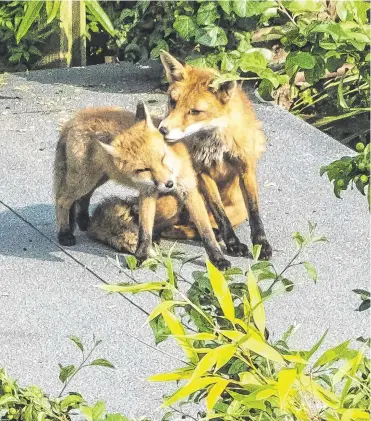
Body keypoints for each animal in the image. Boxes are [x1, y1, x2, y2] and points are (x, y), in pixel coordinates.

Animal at [54, 101, 231, 268]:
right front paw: (140, 256)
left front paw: (218, 258)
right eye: (144, 169)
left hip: (99, 177)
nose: (169, 184)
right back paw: (64, 233)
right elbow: (144, 231)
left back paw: (83, 221)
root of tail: (74, 119)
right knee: (63, 200)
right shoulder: (148, 191)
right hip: (84, 179)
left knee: (83, 197)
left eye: (162, 157)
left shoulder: (188, 190)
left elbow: (206, 231)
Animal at [157, 50, 274, 260]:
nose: (162, 130)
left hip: (238, 208)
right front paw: (233, 243)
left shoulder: (245, 166)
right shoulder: (201, 171)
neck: (214, 144)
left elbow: (254, 210)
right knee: (173, 226)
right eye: (173, 101)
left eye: (195, 111)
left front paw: (261, 243)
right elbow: (219, 211)